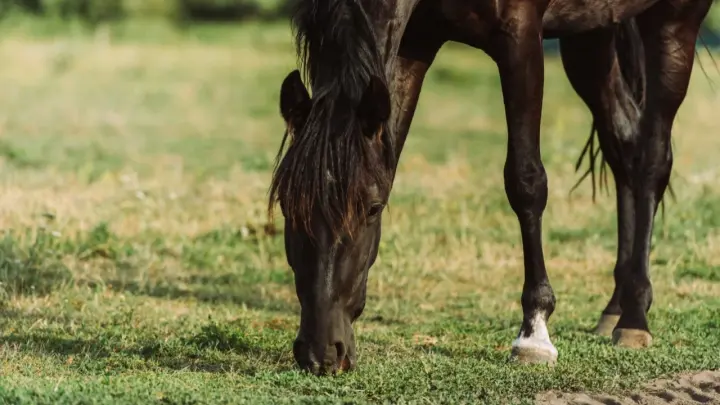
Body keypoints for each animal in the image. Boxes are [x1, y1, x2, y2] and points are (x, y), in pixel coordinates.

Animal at [268, 0, 713, 375]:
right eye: (288, 207)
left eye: (373, 208)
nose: (322, 353)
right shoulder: (416, 41)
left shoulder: (521, 38)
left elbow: (526, 181)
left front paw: (534, 333)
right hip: (592, 35)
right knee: (624, 147)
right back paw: (615, 308)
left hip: (675, 22)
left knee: (652, 160)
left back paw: (636, 316)